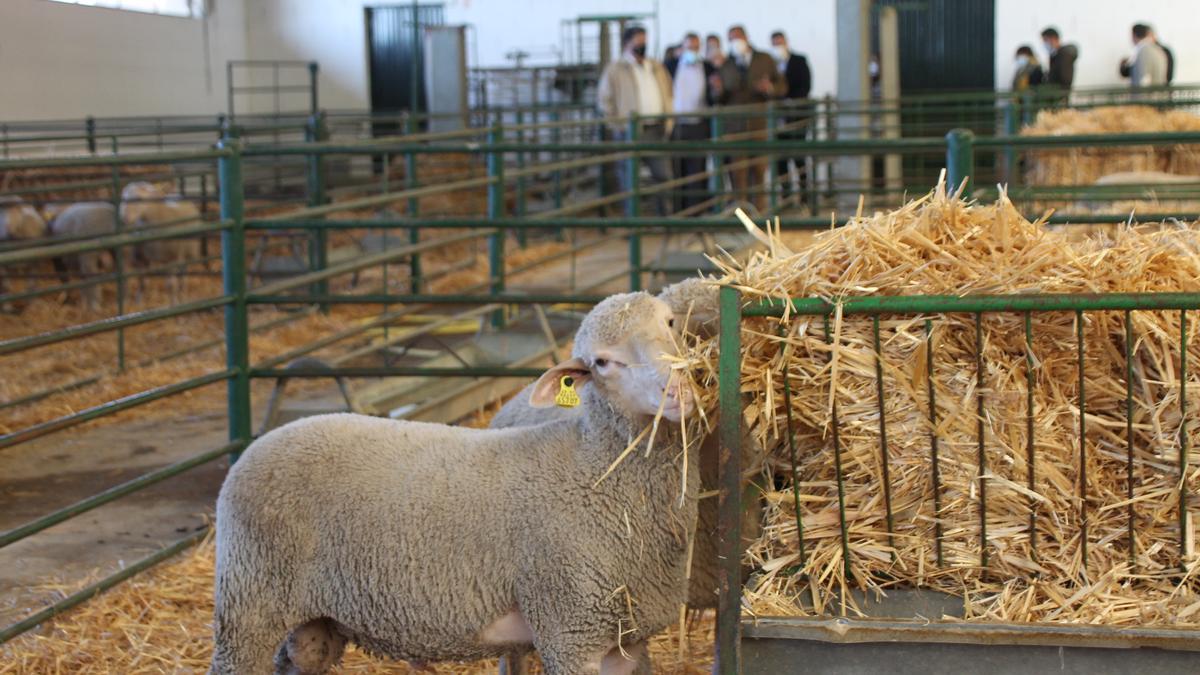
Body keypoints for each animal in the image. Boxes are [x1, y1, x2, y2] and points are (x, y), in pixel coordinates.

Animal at [210, 290, 700, 672]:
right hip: (248, 605)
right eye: (602, 362)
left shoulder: (626, 637)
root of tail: (259, 444)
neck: (594, 466)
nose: (678, 389)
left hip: (313, 624)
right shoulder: (569, 628)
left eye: (669, 323)